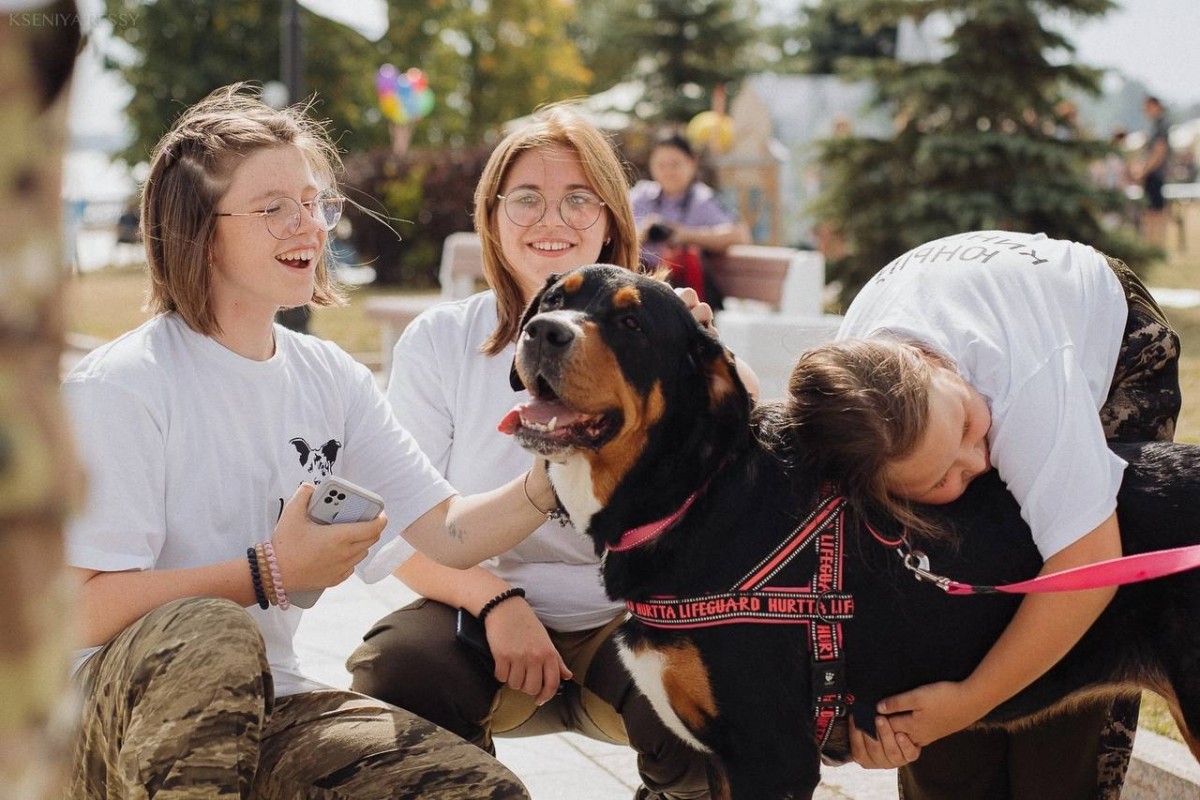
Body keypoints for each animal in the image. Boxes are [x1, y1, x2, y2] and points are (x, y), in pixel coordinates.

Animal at [501, 266, 1200, 796]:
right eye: (556, 298)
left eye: (631, 325)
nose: (543, 332)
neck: (696, 493)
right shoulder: (727, 761)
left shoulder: (770, 757)